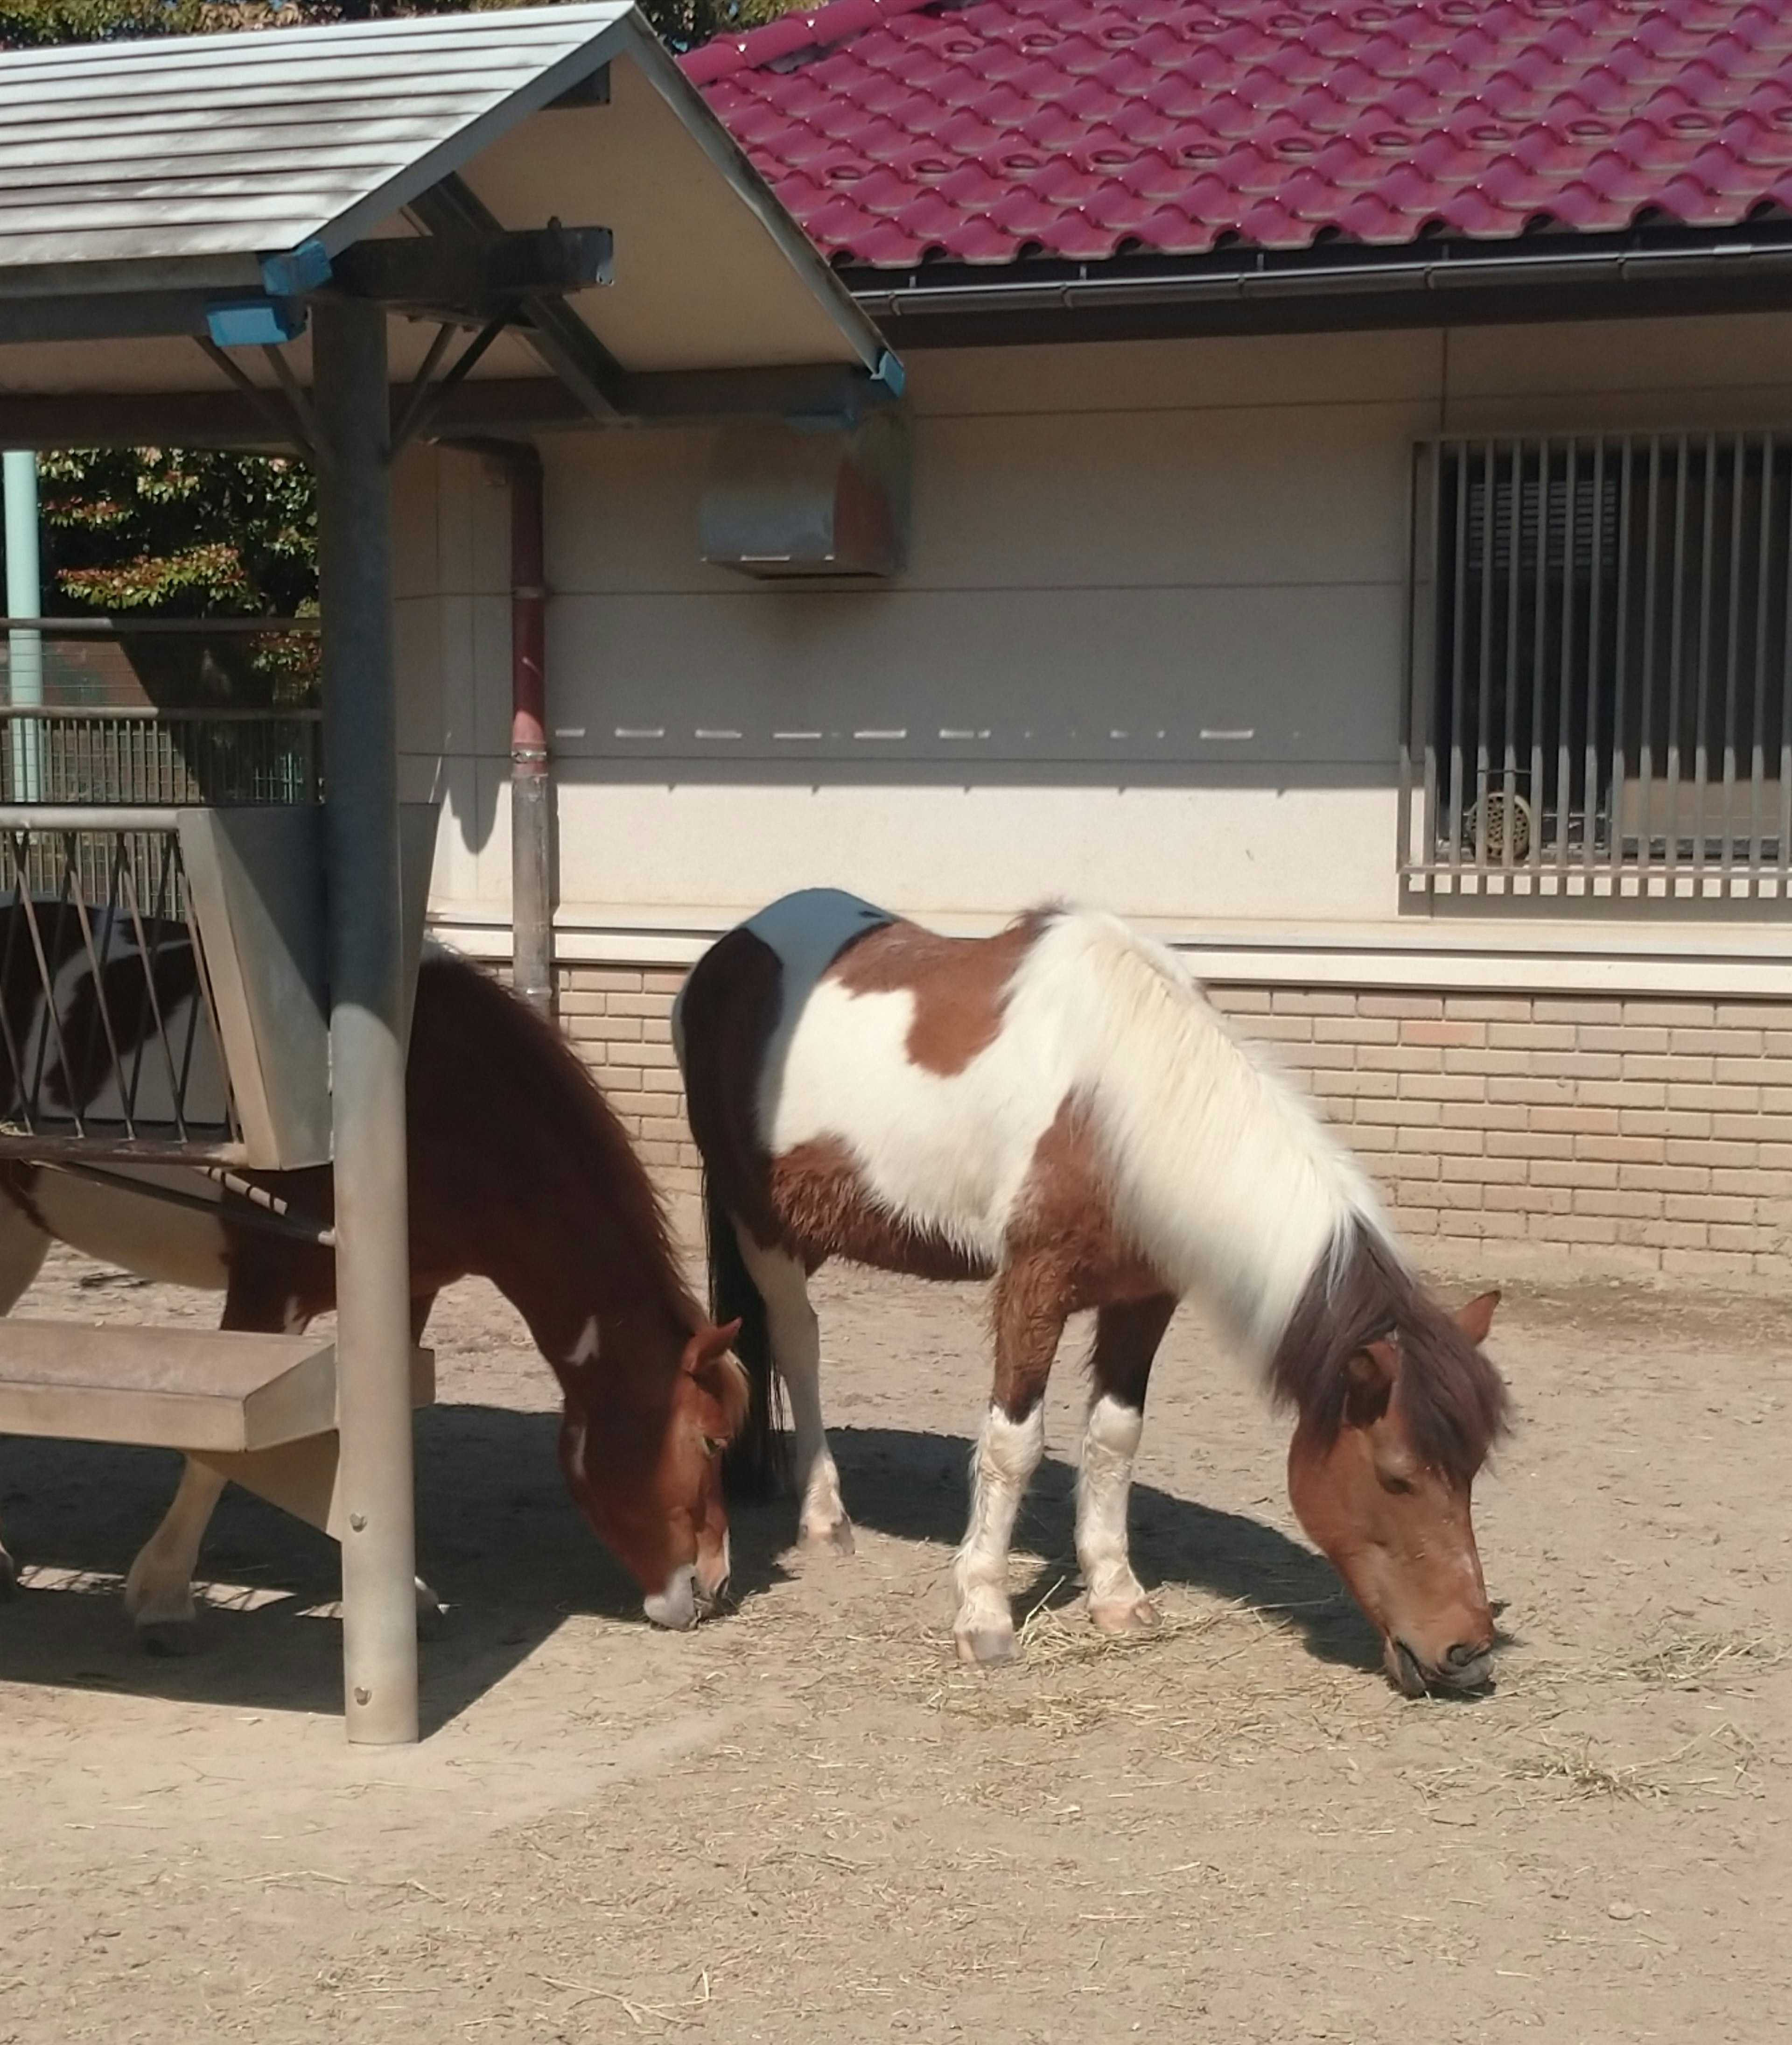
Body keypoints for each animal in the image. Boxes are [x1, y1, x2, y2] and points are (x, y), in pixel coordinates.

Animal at [0, 941, 748, 1644]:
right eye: (711, 1444)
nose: (714, 1588)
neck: (438, 1103)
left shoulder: (402, 1293)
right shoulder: (269, 1290)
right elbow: (217, 1456)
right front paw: (163, 1595)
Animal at [670, 892, 1512, 1693]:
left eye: (1472, 1471)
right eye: (1396, 1475)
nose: (1467, 1654)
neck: (1119, 1102)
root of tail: (726, 953)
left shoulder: (1144, 1297)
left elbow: (1115, 1437)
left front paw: (1115, 1591)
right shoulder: (1032, 1285)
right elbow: (1012, 1444)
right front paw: (984, 1613)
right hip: (764, 1228)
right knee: (798, 1343)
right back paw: (823, 1515)